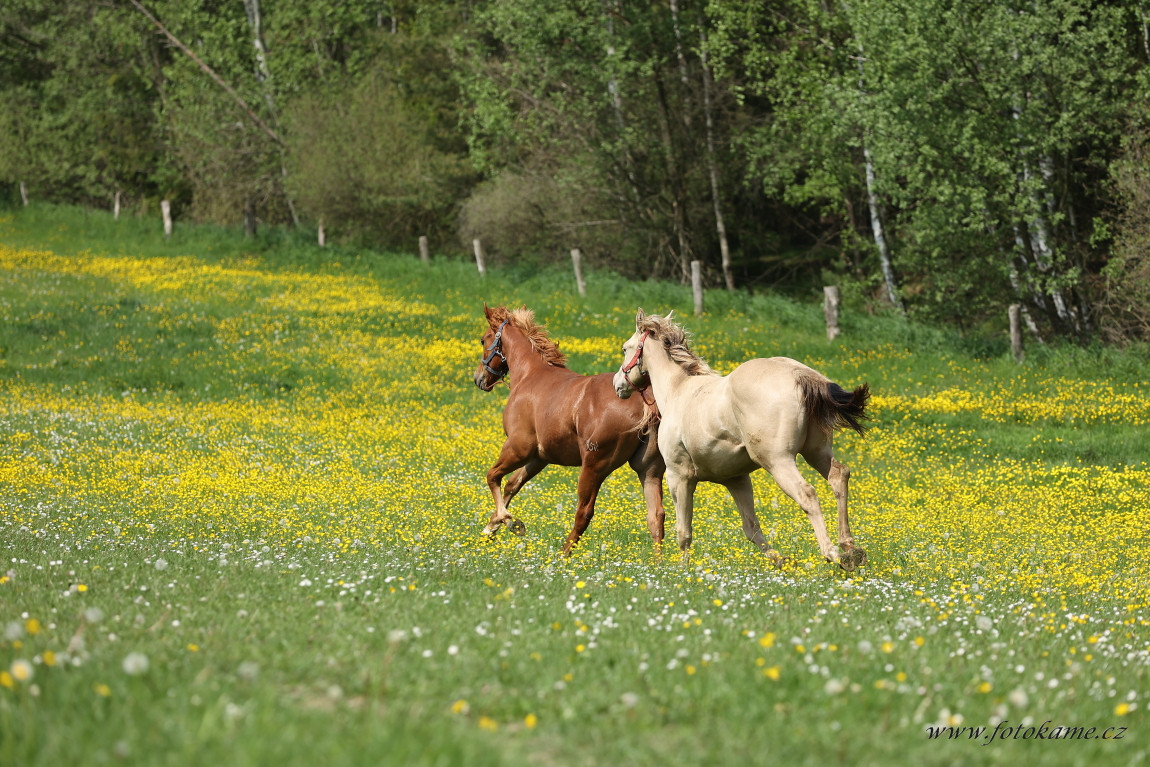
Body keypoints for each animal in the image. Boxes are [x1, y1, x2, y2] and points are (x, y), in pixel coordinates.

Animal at [471, 303, 667, 551]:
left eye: (483, 340)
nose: (478, 378)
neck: (530, 375)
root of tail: (644, 400)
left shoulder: (518, 447)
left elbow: (492, 477)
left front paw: (509, 522)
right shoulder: (539, 457)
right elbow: (512, 485)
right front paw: (492, 527)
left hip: (594, 468)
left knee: (584, 512)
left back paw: (563, 554)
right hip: (648, 469)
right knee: (656, 516)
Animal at [611, 308, 869, 568]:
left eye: (625, 348)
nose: (617, 384)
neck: (679, 390)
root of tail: (798, 374)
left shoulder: (679, 476)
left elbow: (684, 531)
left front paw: (683, 570)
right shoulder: (736, 479)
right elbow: (751, 528)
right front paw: (780, 561)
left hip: (778, 461)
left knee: (807, 494)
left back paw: (834, 553)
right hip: (816, 453)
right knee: (839, 476)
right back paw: (850, 548)